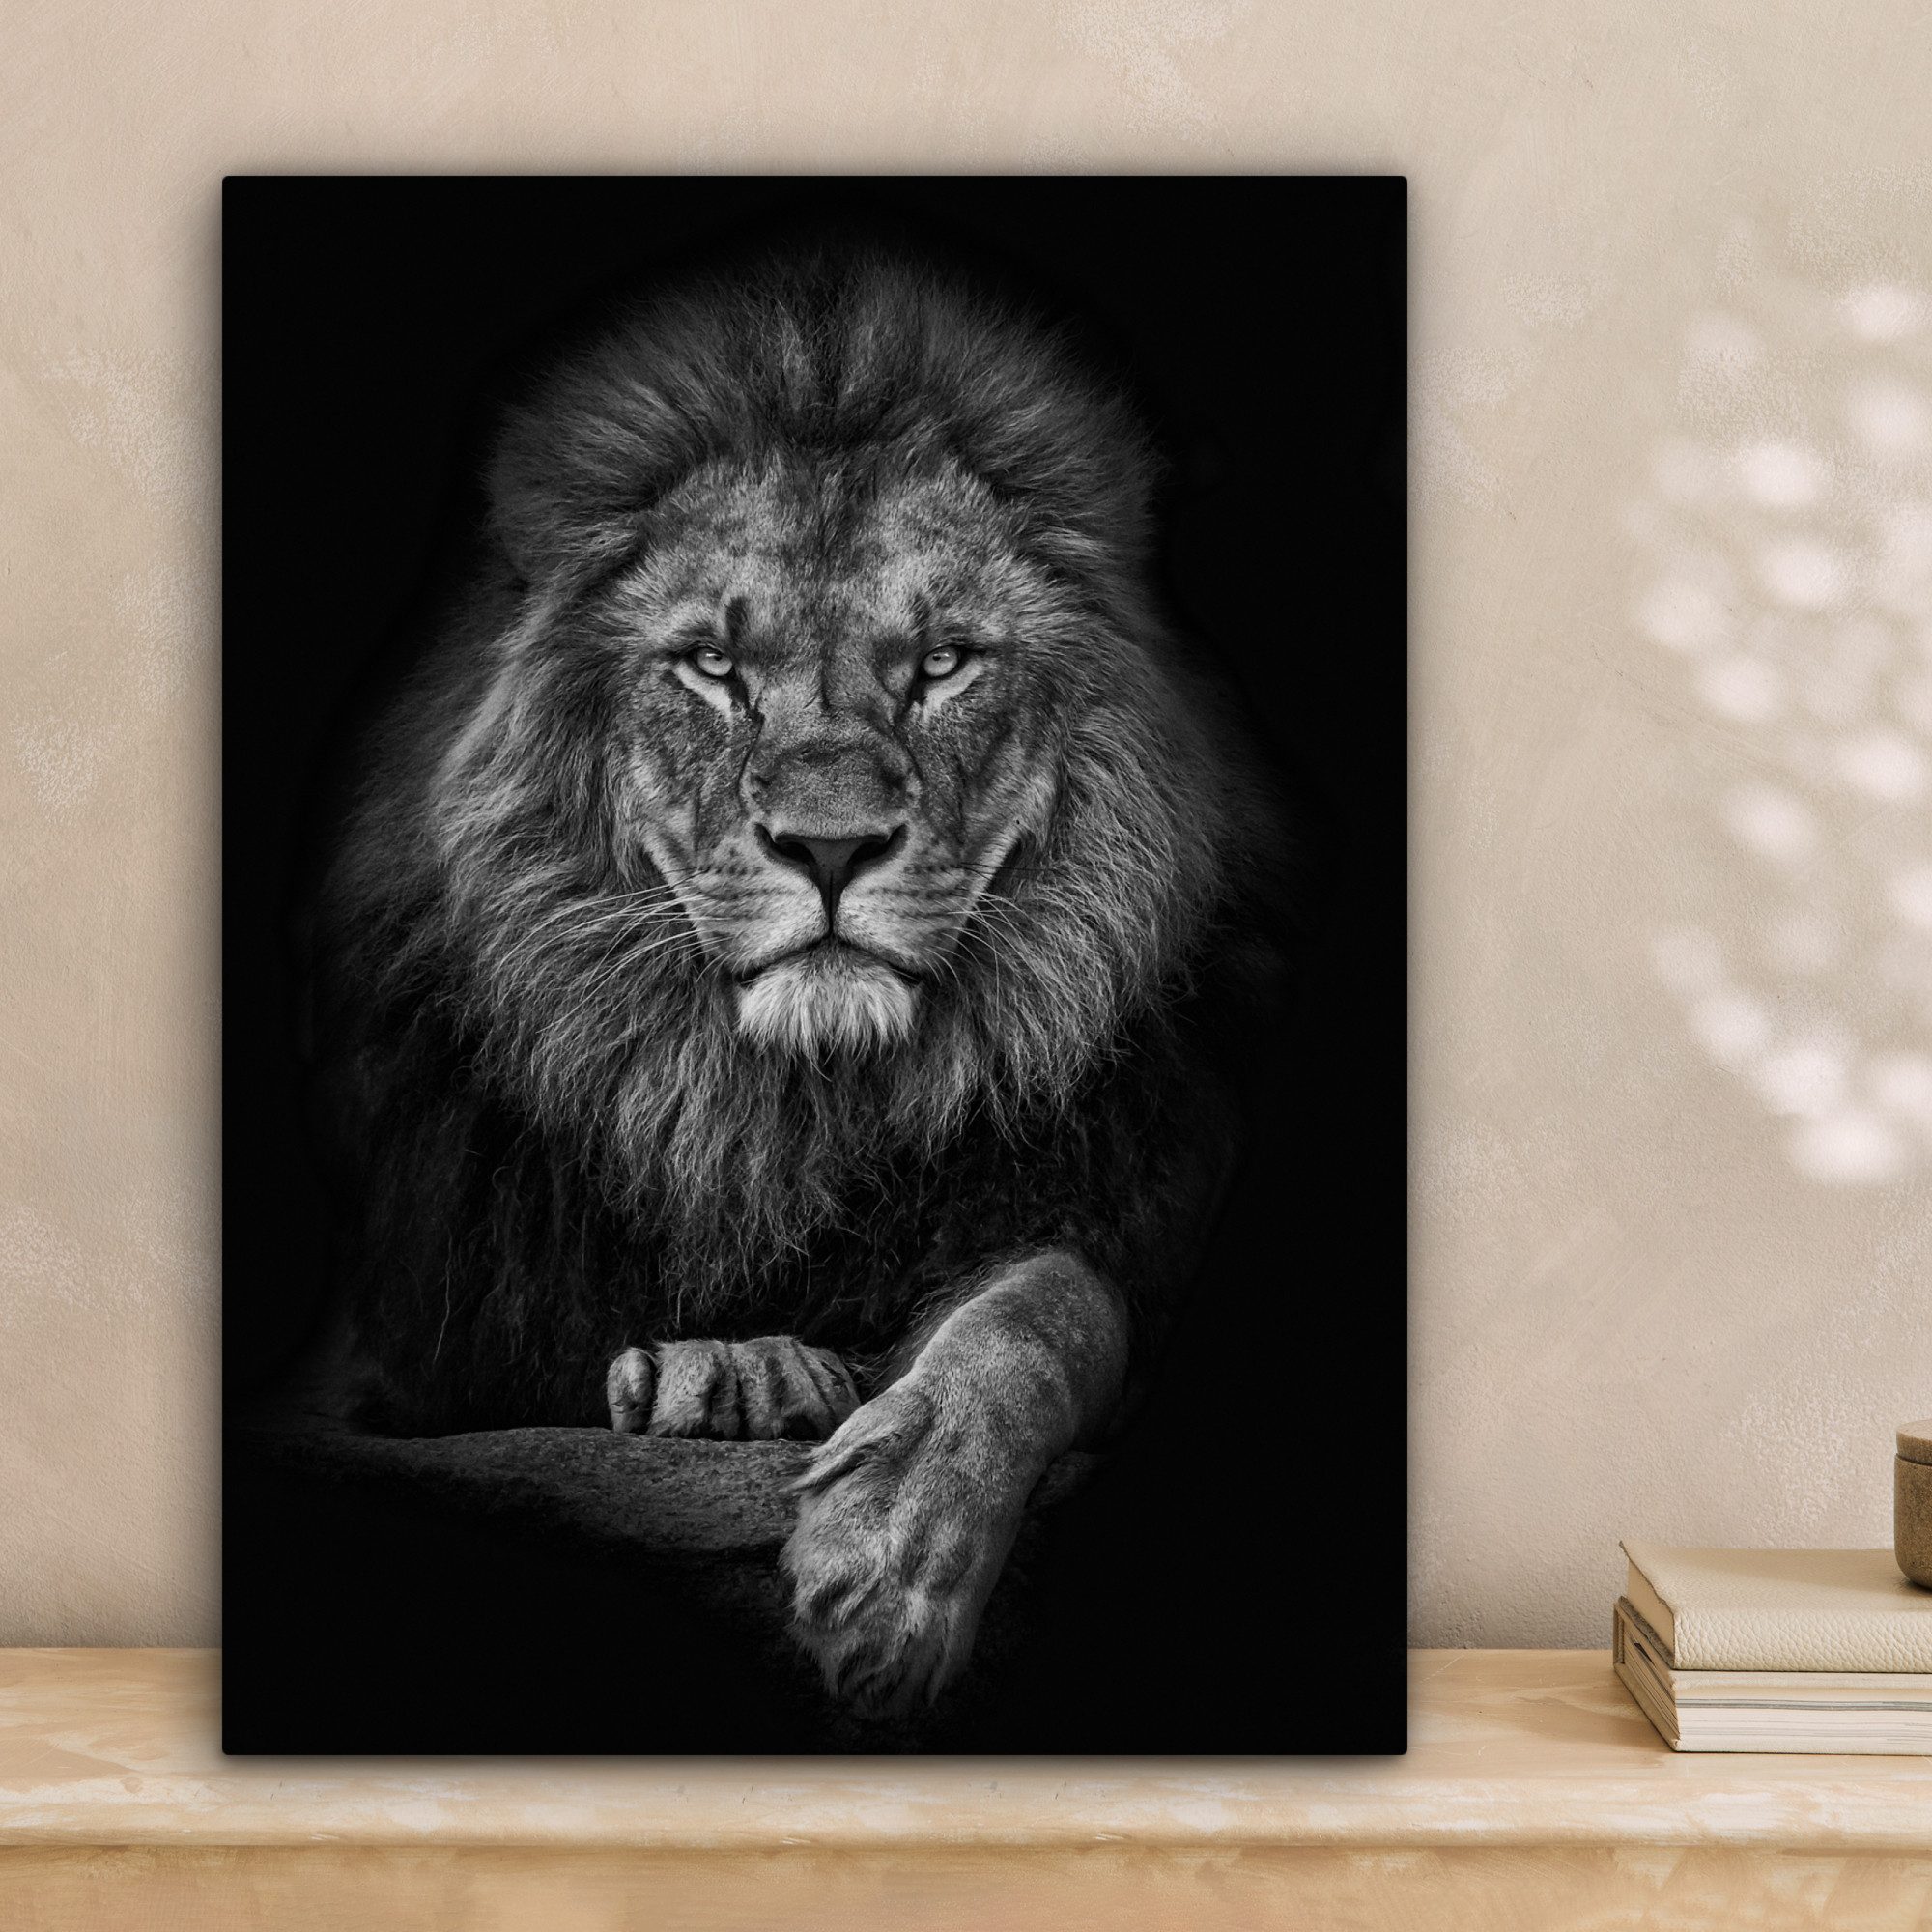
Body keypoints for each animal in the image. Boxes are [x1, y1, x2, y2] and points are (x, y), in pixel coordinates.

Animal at [308, 241, 1290, 1715]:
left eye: (941, 663)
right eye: (714, 666)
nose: (829, 845)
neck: (781, 1116)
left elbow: (1045, 1309)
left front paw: (892, 1556)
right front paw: (733, 1372)